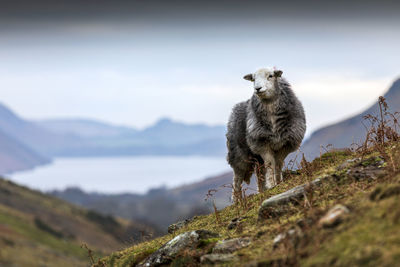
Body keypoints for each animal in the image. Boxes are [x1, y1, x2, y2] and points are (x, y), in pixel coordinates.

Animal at [225, 68, 306, 202]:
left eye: (271, 76)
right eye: (253, 78)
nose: (257, 88)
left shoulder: (286, 143)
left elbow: (278, 164)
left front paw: (279, 182)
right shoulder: (261, 144)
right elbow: (270, 163)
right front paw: (272, 184)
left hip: (256, 159)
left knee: (259, 174)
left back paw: (261, 191)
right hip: (238, 154)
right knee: (237, 178)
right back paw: (237, 201)